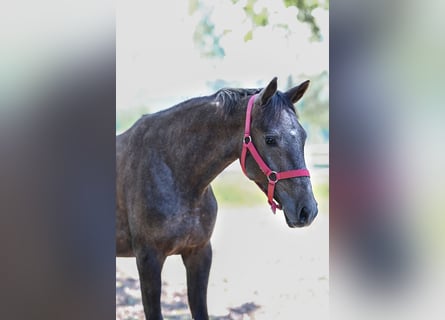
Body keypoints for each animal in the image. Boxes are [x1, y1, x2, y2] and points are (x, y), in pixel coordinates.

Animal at [114, 77, 316, 320]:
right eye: (270, 139)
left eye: (303, 136)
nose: (308, 210)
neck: (175, 170)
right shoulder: (148, 260)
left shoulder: (199, 253)